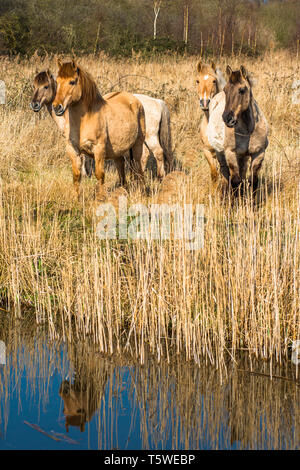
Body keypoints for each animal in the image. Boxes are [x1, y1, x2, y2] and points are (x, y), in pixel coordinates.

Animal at [53, 59, 146, 199]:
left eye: (72, 81)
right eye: (57, 81)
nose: (56, 107)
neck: (86, 119)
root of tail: (134, 100)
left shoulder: (99, 149)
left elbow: (99, 174)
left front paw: (101, 197)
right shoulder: (72, 150)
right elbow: (76, 176)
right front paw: (76, 198)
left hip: (137, 146)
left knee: (137, 167)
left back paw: (141, 192)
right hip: (117, 151)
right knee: (121, 168)